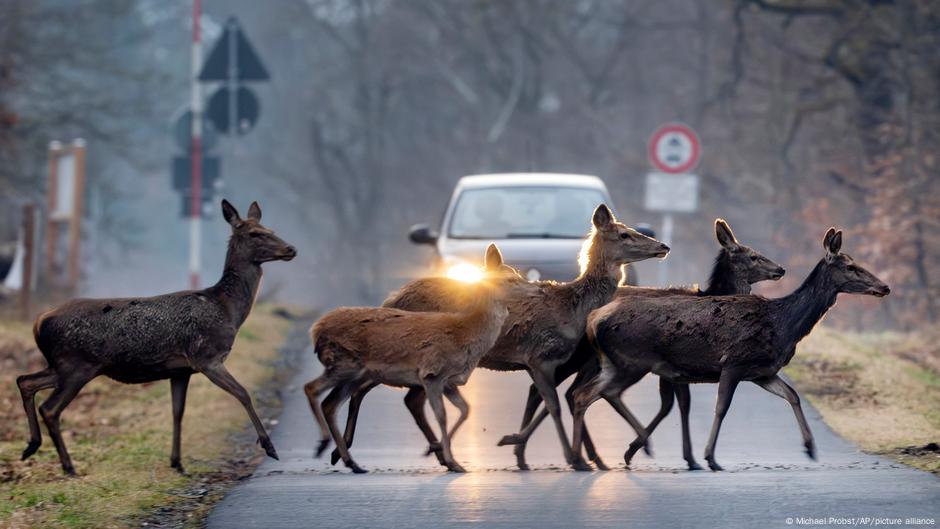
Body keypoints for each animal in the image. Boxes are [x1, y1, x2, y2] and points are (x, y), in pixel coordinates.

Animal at [18, 201, 298, 474]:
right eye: (255, 233)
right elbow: (243, 393)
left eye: (271, 229)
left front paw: (177, 462)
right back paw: (68, 466)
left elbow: (178, 412)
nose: (291, 248)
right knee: (50, 408)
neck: (227, 309)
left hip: (62, 365)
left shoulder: (181, 370)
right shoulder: (207, 357)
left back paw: (31, 446)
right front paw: (270, 447)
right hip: (77, 365)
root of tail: (39, 321)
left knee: (25, 381)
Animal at [306, 242, 516, 470]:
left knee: (332, 403)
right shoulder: (432, 374)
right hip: (345, 364)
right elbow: (442, 415)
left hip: (355, 373)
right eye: (511, 277)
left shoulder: (449, 381)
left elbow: (464, 409)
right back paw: (328, 447)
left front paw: (442, 452)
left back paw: (348, 460)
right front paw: (449, 458)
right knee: (314, 389)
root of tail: (316, 331)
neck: (466, 334)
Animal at [500, 217, 784, 468]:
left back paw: (543, 452)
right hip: (578, 356)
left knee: (562, 392)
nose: (780, 269)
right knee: (554, 391)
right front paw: (683, 457)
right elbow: (680, 404)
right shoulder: (676, 364)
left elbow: (670, 404)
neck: (712, 296)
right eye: (753, 256)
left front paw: (643, 449)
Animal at [572, 227, 888, 470]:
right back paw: (627, 450)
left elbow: (793, 396)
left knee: (583, 395)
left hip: (614, 363)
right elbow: (721, 407)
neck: (784, 326)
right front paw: (709, 457)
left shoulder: (762, 372)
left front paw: (810, 448)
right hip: (633, 361)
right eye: (851, 266)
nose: (884, 287)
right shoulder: (733, 363)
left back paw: (595, 456)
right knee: (602, 393)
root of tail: (594, 319)